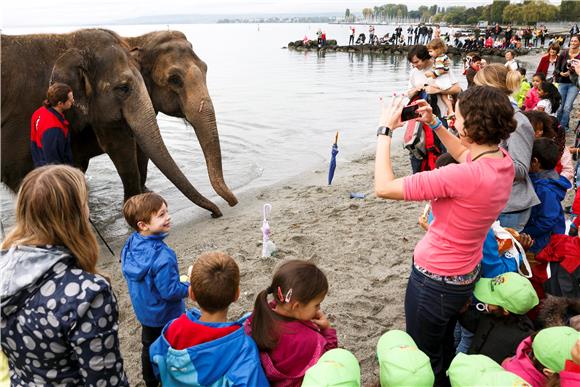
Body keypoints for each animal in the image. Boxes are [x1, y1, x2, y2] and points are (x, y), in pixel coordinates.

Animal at [1, 29, 223, 218]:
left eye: (205, 69)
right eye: (175, 79)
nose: (217, 212)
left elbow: (140, 150)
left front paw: (143, 194)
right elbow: (121, 148)